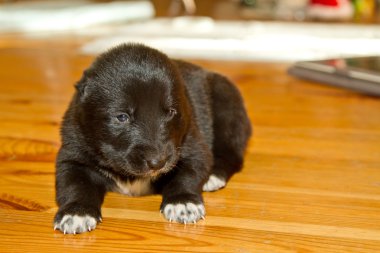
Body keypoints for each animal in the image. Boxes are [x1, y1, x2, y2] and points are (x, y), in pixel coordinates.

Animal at [52, 43, 251, 233]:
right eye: (122, 117)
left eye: (171, 112)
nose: (158, 162)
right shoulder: (73, 153)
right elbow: (74, 185)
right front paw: (76, 212)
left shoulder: (193, 146)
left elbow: (188, 174)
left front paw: (183, 202)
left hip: (227, 109)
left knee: (232, 154)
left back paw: (214, 176)